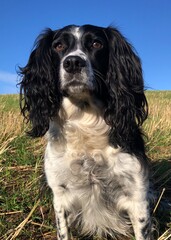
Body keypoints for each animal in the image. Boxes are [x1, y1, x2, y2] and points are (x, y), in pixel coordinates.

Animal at [19, 24, 152, 240]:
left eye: (96, 44)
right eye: (58, 46)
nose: (73, 62)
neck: (85, 120)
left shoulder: (136, 196)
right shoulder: (60, 195)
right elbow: (63, 231)